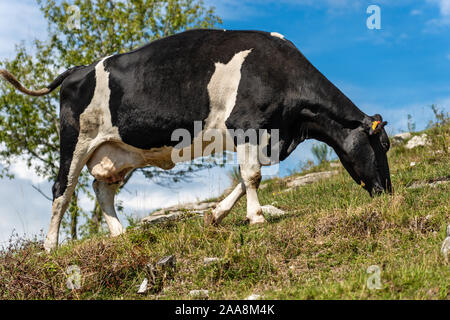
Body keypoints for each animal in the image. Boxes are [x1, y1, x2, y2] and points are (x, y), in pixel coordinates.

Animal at [0, 28, 390, 251]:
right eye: (383, 145)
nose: (388, 193)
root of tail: (78, 70)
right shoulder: (245, 123)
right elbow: (253, 176)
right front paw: (256, 218)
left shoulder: (266, 135)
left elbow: (246, 176)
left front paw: (215, 215)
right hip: (76, 140)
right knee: (62, 189)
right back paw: (51, 247)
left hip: (119, 152)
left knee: (101, 190)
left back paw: (119, 234)